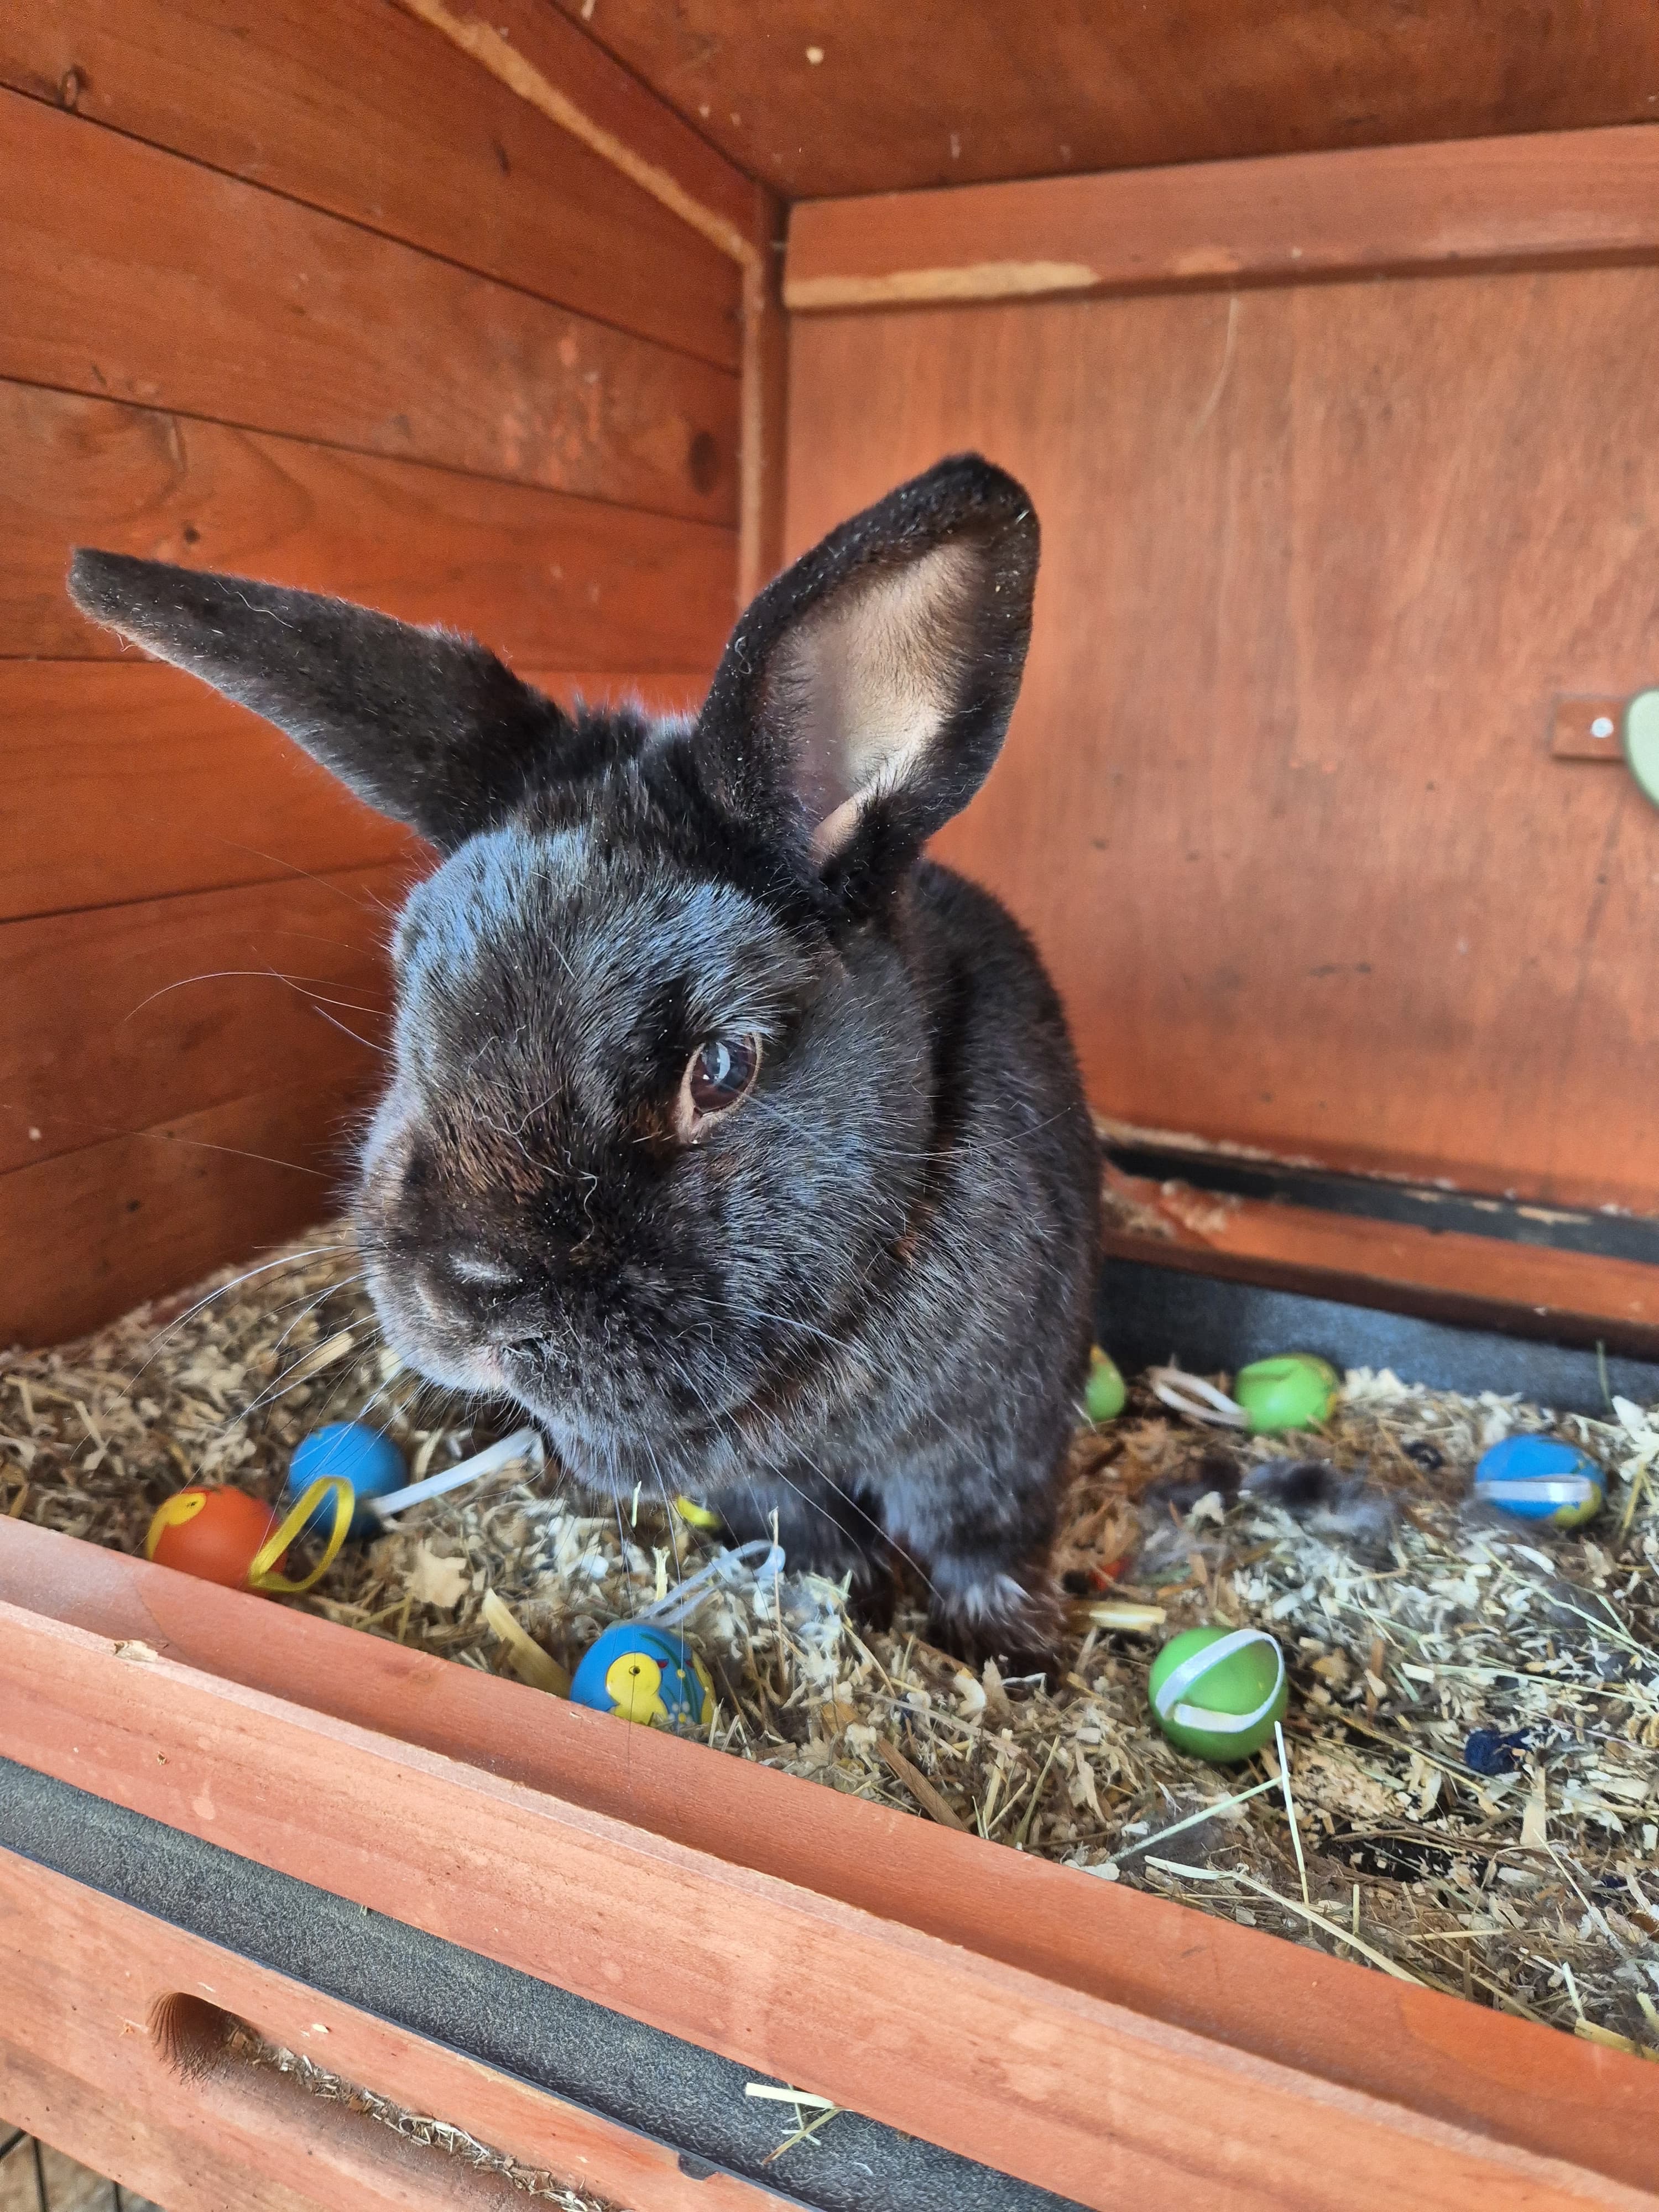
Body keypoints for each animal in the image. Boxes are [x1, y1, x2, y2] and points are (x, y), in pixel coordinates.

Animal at [68, 453, 1102, 1671]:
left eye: (722, 1068)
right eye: (411, 996)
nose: (463, 1296)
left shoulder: (999, 1432)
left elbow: (977, 1540)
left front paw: (1004, 1654)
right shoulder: (770, 1481)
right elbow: (806, 1527)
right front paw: (839, 1594)